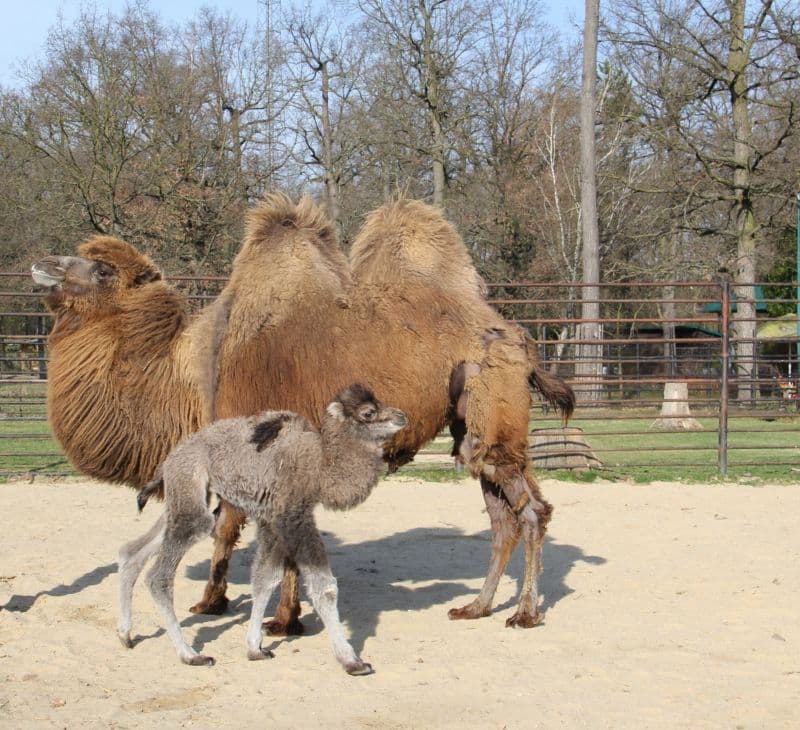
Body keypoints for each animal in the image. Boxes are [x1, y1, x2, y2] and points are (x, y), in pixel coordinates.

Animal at [29, 193, 568, 632]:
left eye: (102, 270)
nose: (44, 264)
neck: (195, 376)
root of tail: (517, 335)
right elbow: (237, 527)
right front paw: (222, 604)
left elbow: (246, 529)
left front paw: (277, 620)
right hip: (471, 427)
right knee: (502, 514)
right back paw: (477, 607)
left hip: (491, 406)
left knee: (530, 510)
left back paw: (524, 613)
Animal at [117, 384, 406, 672]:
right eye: (368, 412)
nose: (402, 416)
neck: (319, 465)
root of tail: (169, 459)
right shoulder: (293, 515)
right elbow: (324, 587)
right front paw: (351, 660)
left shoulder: (271, 519)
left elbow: (265, 579)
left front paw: (255, 648)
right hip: (190, 490)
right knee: (159, 575)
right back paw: (190, 655)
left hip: (182, 496)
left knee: (132, 550)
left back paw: (125, 635)